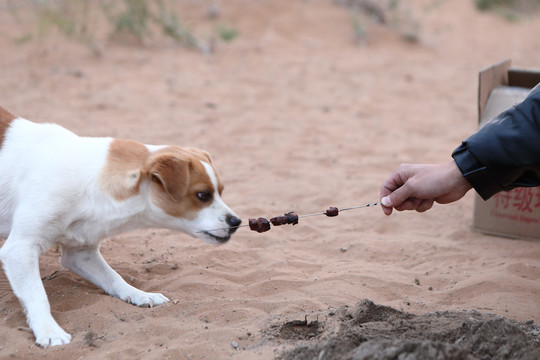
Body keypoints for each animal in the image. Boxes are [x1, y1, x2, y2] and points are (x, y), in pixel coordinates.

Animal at [0, 106, 242, 346]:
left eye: (221, 191)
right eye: (203, 195)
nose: (237, 222)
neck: (90, 184)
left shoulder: (80, 253)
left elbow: (113, 278)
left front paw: (139, 294)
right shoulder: (20, 249)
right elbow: (37, 294)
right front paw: (49, 330)